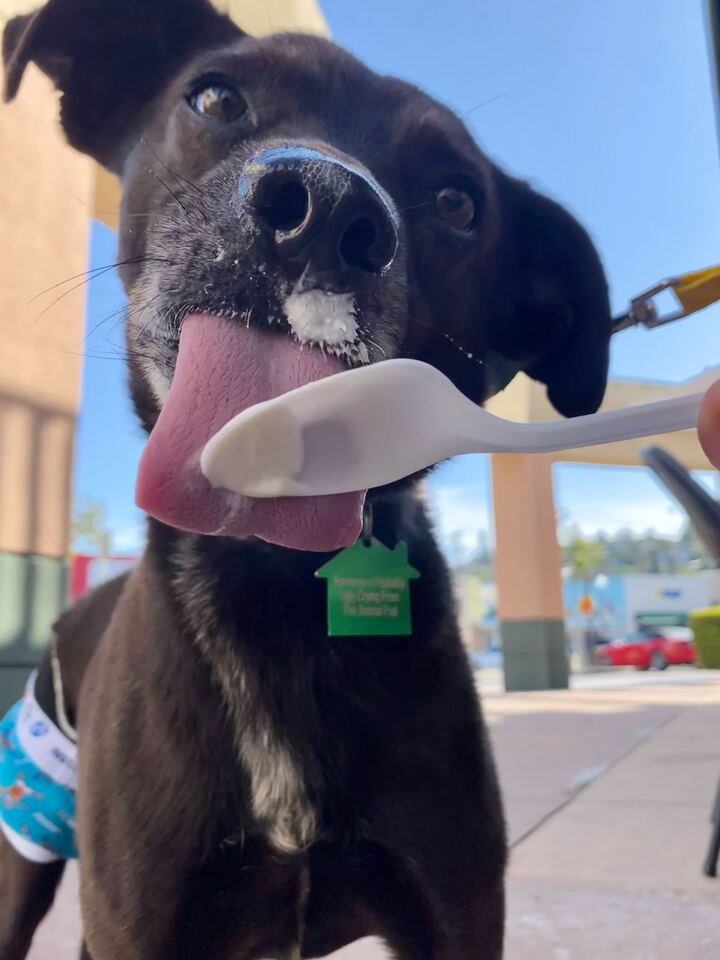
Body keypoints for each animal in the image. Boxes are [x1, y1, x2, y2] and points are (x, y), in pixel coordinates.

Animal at [1, 1, 612, 960]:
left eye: (458, 201)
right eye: (216, 97)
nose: (325, 208)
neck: (272, 576)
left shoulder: (459, 911)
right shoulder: (139, 924)